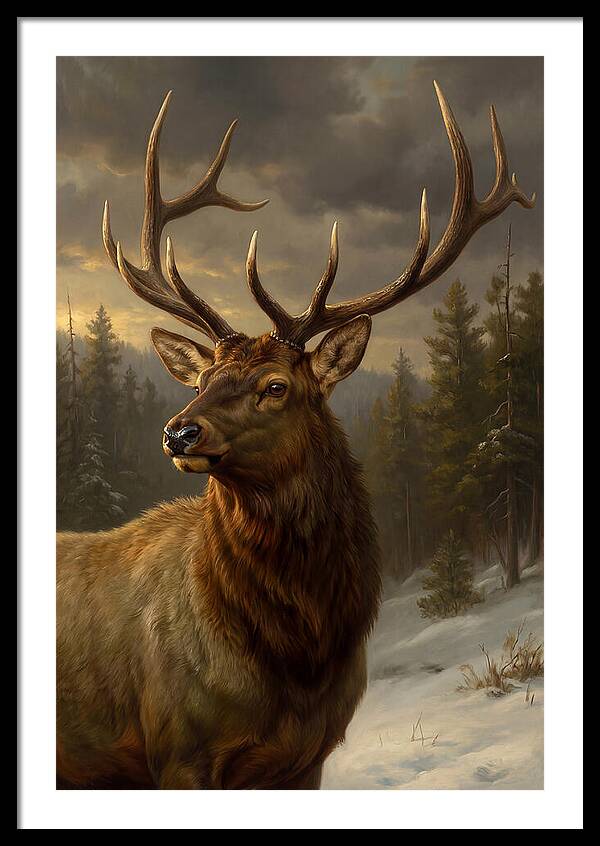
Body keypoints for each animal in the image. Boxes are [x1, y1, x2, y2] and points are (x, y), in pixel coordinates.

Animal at [56, 82, 535, 789]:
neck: (296, 659)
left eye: (276, 385)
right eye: (202, 378)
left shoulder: (307, 756)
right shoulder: (176, 750)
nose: (178, 432)